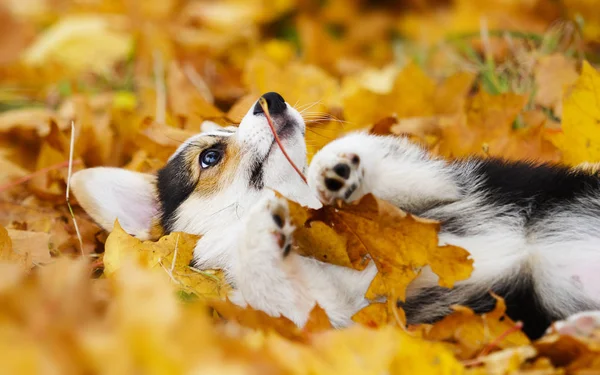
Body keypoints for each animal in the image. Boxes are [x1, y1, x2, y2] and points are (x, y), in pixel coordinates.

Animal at [72, 92, 600, 340]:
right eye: (209, 157)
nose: (271, 98)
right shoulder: (332, 315)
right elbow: (275, 277)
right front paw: (259, 228)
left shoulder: (440, 186)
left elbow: (384, 159)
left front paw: (337, 166)